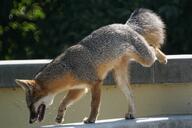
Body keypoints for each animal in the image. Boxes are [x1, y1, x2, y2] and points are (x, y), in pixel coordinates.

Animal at [15, 8, 167, 124]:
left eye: (30, 106)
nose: (30, 121)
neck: (69, 67)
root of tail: (125, 25)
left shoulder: (95, 83)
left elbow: (94, 104)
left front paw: (91, 119)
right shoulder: (80, 88)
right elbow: (63, 102)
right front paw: (60, 116)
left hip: (146, 59)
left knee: (152, 47)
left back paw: (162, 57)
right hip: (120, 79)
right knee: (131, 94)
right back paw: (131, 113)